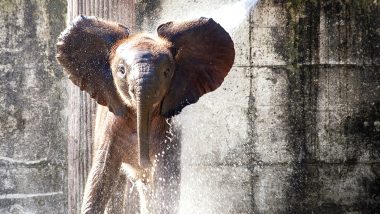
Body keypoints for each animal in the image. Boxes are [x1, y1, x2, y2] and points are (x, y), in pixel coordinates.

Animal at [56, 15, 235, 214]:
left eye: (166, 72)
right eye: (121, 70)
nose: (144, 162)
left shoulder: (168, 132)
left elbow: (164, 180)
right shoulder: (111, 126)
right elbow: (100, 176)